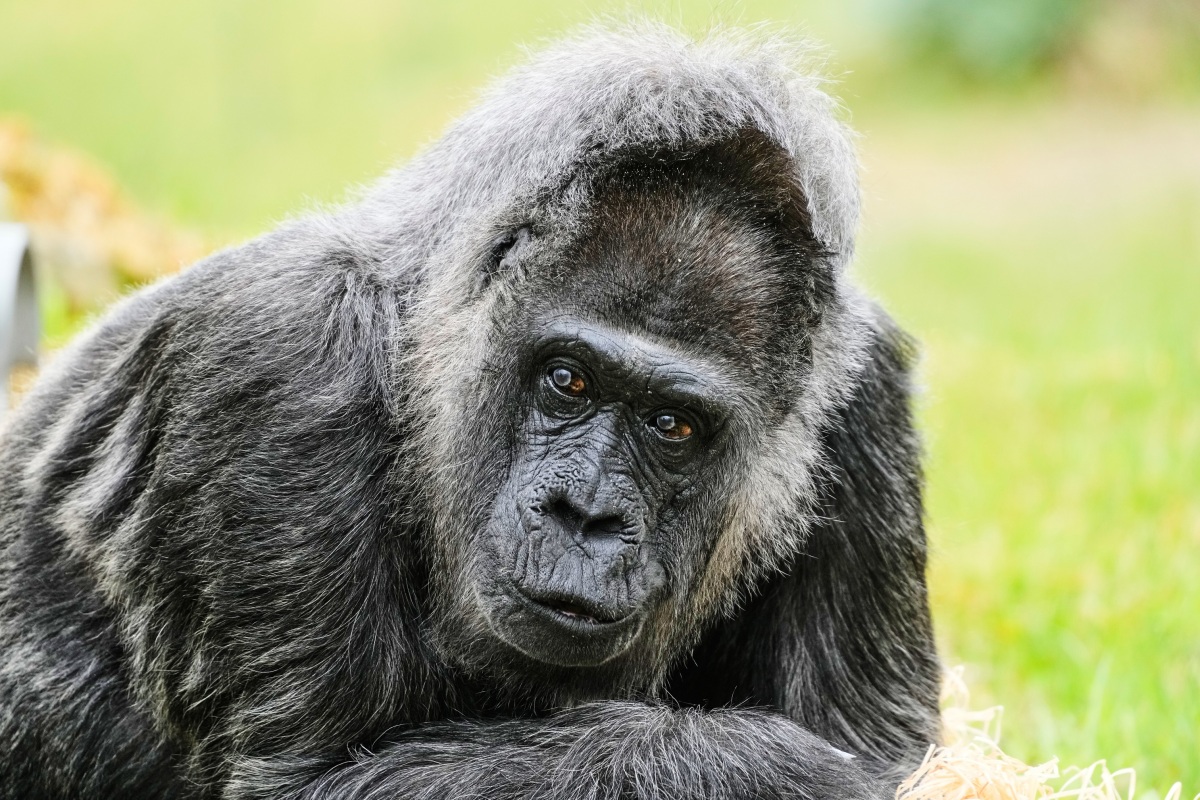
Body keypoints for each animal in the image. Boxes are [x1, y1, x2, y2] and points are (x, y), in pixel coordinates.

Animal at [0, 25, 940, 799]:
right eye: (567, 381)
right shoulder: (274, 362)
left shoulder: (865, 404)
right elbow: (301, 782)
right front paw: (758, 765)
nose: (584, 515)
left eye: (672, 426)